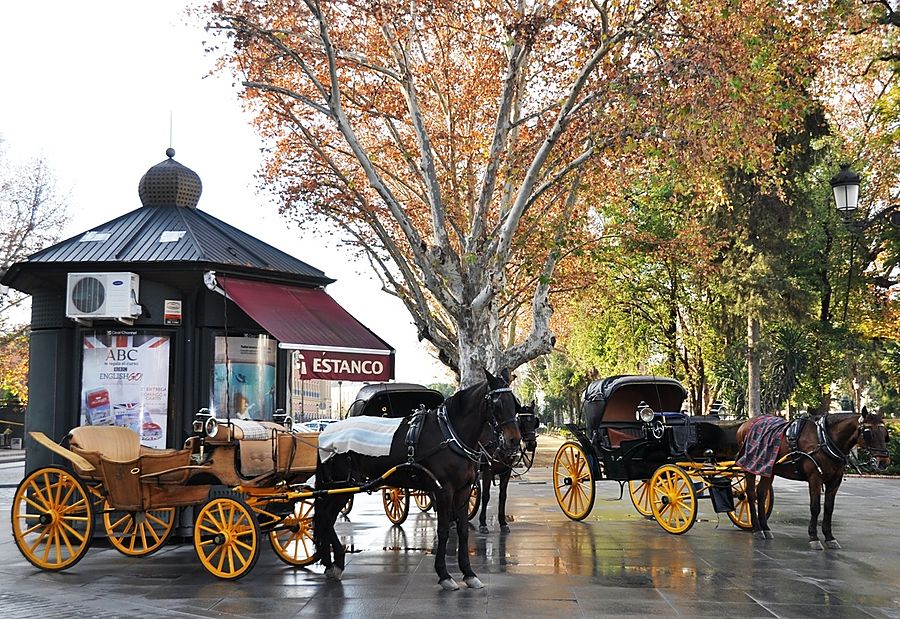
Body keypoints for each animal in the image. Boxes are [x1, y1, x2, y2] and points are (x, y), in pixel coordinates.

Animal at [312, 368, 520, 592]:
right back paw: (336, 563)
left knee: (325, 518)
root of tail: (326, 432)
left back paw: (330, 562)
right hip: (341, 486)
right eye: (497, 403)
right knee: (326, 517)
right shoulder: (443, 491)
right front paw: (444, 574)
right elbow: (444, 530)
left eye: (515, 403)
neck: (449, 434)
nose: (514, 440)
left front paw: (469, 573)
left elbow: (463, 531)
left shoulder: (463, 491)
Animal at [474, 402, 536, 532]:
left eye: (534, 421)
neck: (500, 441)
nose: (531, 444)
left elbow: (503, 496)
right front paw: (483, 523)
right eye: (521, 422)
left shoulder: (506, 471)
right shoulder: (488, 471)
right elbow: (485, 496)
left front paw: (503, 522)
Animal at [740, 410, 892, 548]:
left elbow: (829, 508)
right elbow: (815, 507)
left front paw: (830, 537)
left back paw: (765, 528)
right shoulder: (815, 478)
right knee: (751, 494)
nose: (884, 462)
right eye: (869, 433)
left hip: (768, 469)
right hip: (749, 467)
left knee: (761, 493)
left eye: (885, 434)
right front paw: (814, 537)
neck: (823, 439)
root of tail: (745, 424)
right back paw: (757, 528)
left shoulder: (835, 481)